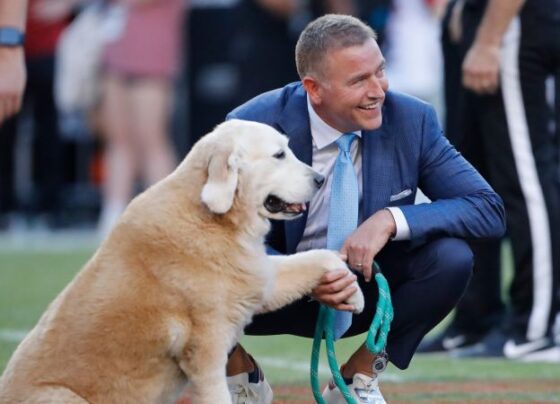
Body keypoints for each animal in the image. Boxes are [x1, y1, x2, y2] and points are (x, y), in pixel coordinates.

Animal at [0, 120, 366, 404]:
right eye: (278, 155)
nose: (320, 179)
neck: (211, 217)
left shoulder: (259, 278)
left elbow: (318, 257)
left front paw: (353, 292)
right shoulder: (206, 353)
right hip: (61, 396)